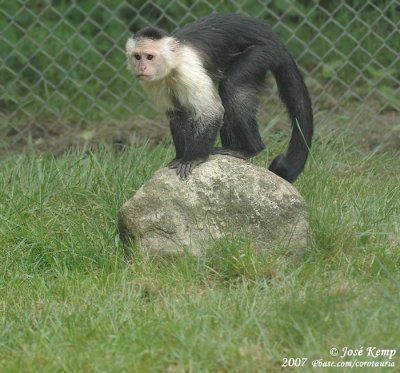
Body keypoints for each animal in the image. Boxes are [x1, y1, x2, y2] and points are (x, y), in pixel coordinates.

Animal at [125, 13, 312, 182]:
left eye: (150, 57)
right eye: (137, 57)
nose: (142, 67)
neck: (172, 66)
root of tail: (274, 38)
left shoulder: (188, 70)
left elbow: (211, 112)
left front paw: (193, 158)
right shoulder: (154, 83)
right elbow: (177, 114)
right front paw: (180, 157)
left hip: (263, 52)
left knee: (232, 89)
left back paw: (250, 149)